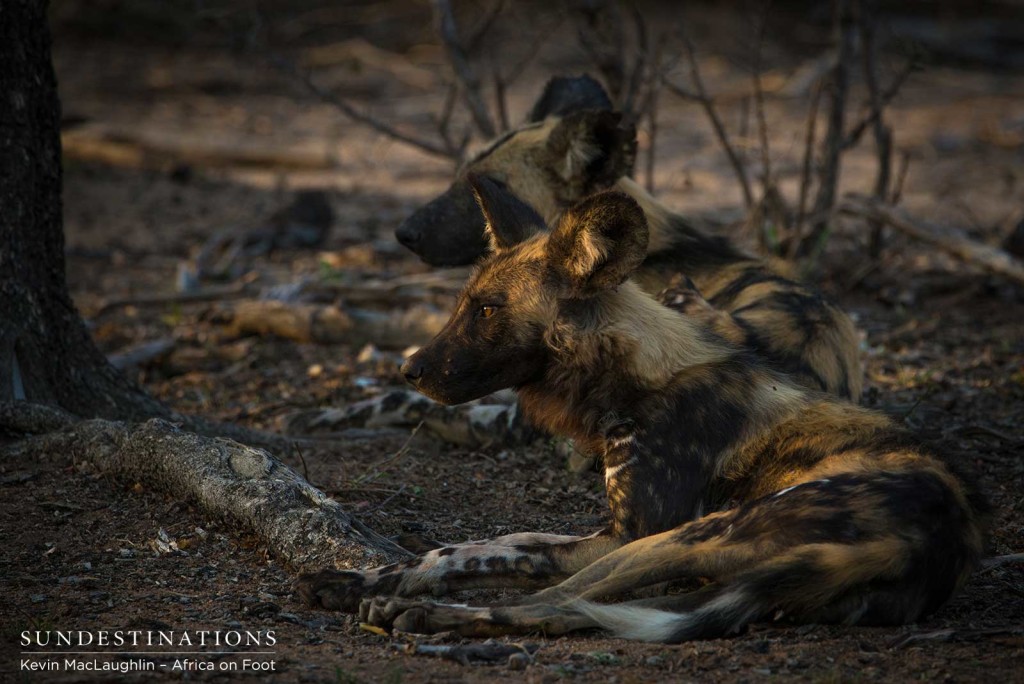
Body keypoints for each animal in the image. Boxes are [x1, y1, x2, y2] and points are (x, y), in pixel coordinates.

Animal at [299, 179, 987, 643]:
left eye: (488, 310)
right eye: (463, 304)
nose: (409, 370)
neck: (635, 375)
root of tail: (937, 537)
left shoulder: (624, 532)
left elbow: (500, 556)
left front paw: (381, 589)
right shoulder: (603, 532)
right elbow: (472, 547)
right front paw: (363, 578)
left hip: (687, 537)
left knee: (556, 603)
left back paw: (424, 617)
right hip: (717, 572)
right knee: (570, 608)